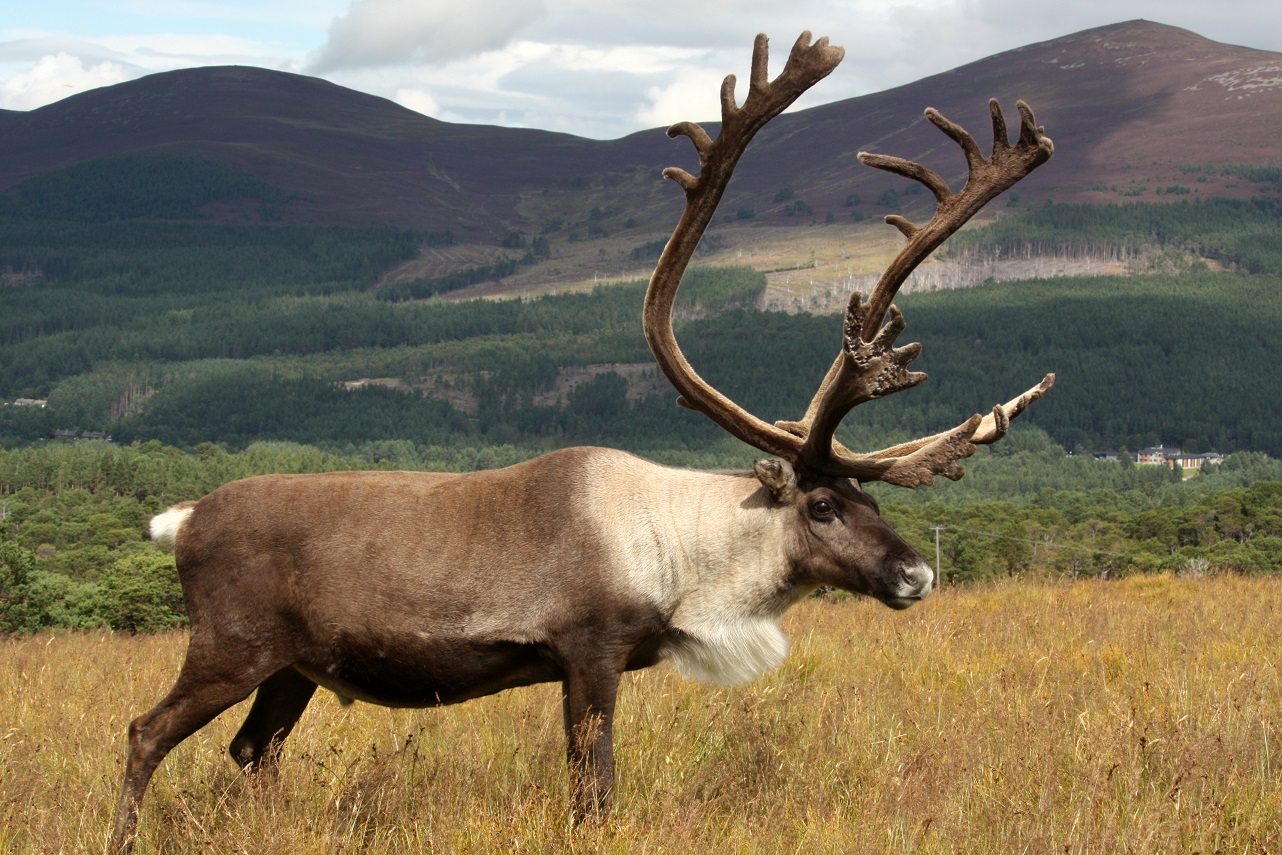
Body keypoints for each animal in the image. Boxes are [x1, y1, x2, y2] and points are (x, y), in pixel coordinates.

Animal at [111, 31, 1054, 853]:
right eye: (820, 503)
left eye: (871, 497)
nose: (917, 572)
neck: (683, 553)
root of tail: (181, 519)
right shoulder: (588, 650)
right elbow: (592, 787)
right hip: (230, 644)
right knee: (145, 730)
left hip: (295, 666)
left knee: (251, 748)